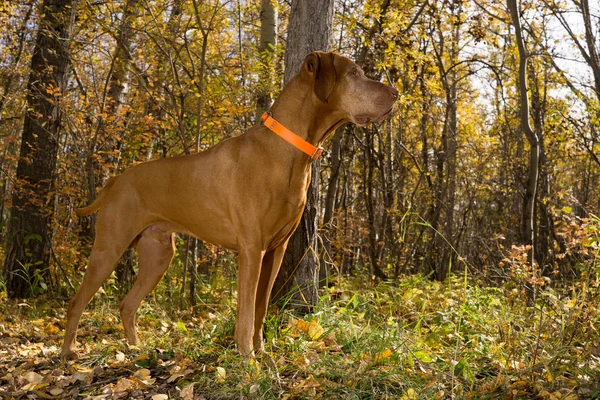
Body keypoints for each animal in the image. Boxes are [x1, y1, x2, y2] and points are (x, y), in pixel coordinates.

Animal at [62, 51, 398, 358]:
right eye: (354, 74)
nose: (396, 93)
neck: (285, 149)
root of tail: (115, 180)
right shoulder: (252, 250)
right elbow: (246, 313)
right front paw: (247, 360)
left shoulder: (276, 250)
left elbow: (261, 308)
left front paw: (261, 351)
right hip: (110, 247)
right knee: (76, 302)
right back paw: (69, 353)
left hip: (158, 255)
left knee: (127, 304)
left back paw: (137, 349)